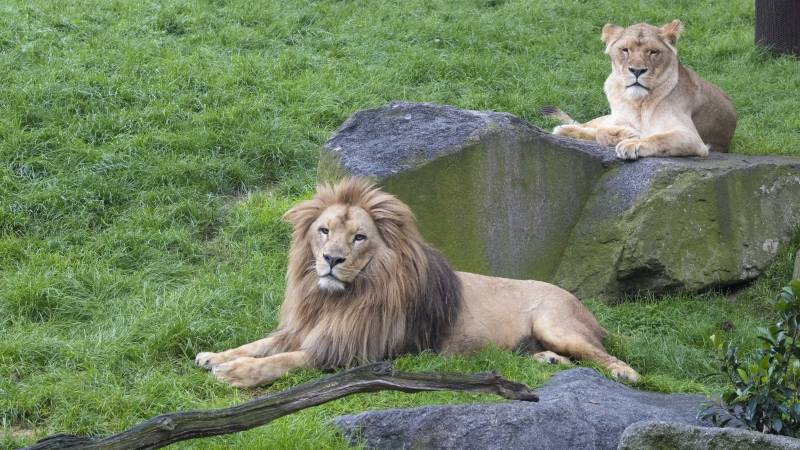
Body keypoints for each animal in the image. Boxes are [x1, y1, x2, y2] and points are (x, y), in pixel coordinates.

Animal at [197, 179, 640, 386]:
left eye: (359, 238)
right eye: (324, 231)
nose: (331, 260)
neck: (335, 300)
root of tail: (585, 306)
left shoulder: (361, 351)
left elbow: (287, 360)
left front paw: (237, 373)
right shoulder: (306, 328)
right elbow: (263, 344)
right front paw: (216, 356)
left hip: (556, 323)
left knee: (603, 355)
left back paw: (625, 374)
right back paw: (546, 360)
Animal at [548, 19, 736, 160]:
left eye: (653, 52)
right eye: (625, 50)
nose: (637, 71)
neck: (636, 102)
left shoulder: (692, 138)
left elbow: (658, 137)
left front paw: (631, 143)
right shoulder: (617, 118)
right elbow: (603, 131)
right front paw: (627, 134)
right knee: (589, 124)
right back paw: (564, 129)